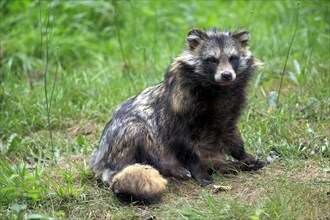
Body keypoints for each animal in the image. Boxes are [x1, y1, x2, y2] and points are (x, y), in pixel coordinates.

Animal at [90, 27, 266, 205]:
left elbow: (232, 133)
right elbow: (182, 143)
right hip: (122, 138)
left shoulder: (229, 112)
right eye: (212, 60)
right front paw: (199, 172)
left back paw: (233, 165)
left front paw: (243, 155)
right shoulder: (177, 113)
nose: (226, 75)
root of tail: (102, 160)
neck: (218, 89)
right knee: (139, 134)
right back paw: (170, 167)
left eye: (233, 58)